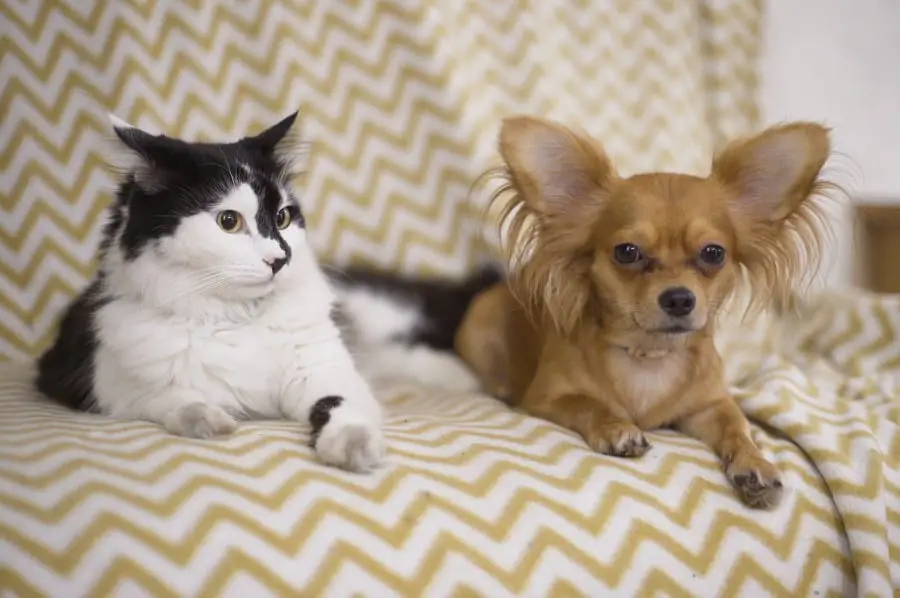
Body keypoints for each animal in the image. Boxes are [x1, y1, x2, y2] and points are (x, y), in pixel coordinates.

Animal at [458, 117, 836, 510]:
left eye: (713, 253)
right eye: (627, 252)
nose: (679, 298)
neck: (650, 353)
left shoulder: (709, 406)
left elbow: (737, 425)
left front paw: (755, 462)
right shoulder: (547, 397)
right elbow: (588, 404)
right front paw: (617, 427)